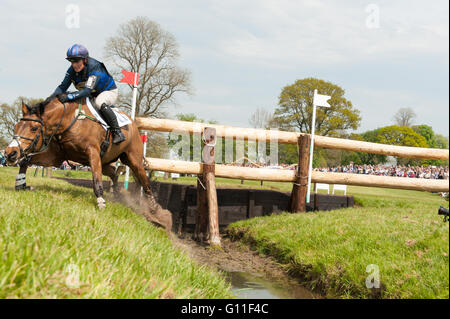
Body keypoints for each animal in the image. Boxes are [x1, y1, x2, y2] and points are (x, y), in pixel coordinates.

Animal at [4, 97, 171, 232]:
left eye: (33, 128)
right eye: (16, 127)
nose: (9, 153)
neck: (68, 121)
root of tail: (133, 124)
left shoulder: (93, 153)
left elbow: (96, 180)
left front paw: (101, 203)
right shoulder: (56, 157)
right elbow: (25, 161)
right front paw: (21, 184)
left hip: (133, 159)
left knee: (144, 181)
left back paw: (156, 212)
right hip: (106, 162)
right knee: (113, 172)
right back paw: (117, 194)